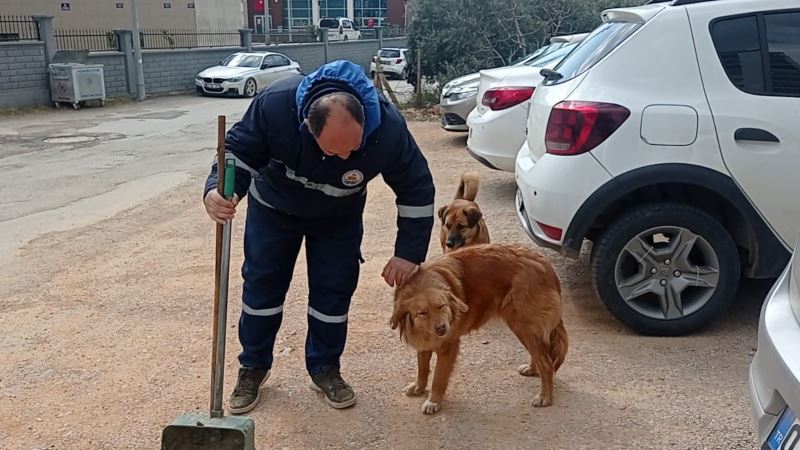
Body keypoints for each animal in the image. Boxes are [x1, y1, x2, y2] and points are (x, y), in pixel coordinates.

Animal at [390, 244, 564, 414]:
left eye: (442, 306)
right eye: (422, 313)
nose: (441, 328)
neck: (421, 285)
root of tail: (545, 264)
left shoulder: (448, 347)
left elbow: (438, 378)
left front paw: (433, 401)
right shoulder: (424, 342)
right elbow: (423, 367)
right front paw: (419, 386)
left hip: (522, 325)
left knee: (547, 363)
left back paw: (545, 397)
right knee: (541, 354)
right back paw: (532, 369)